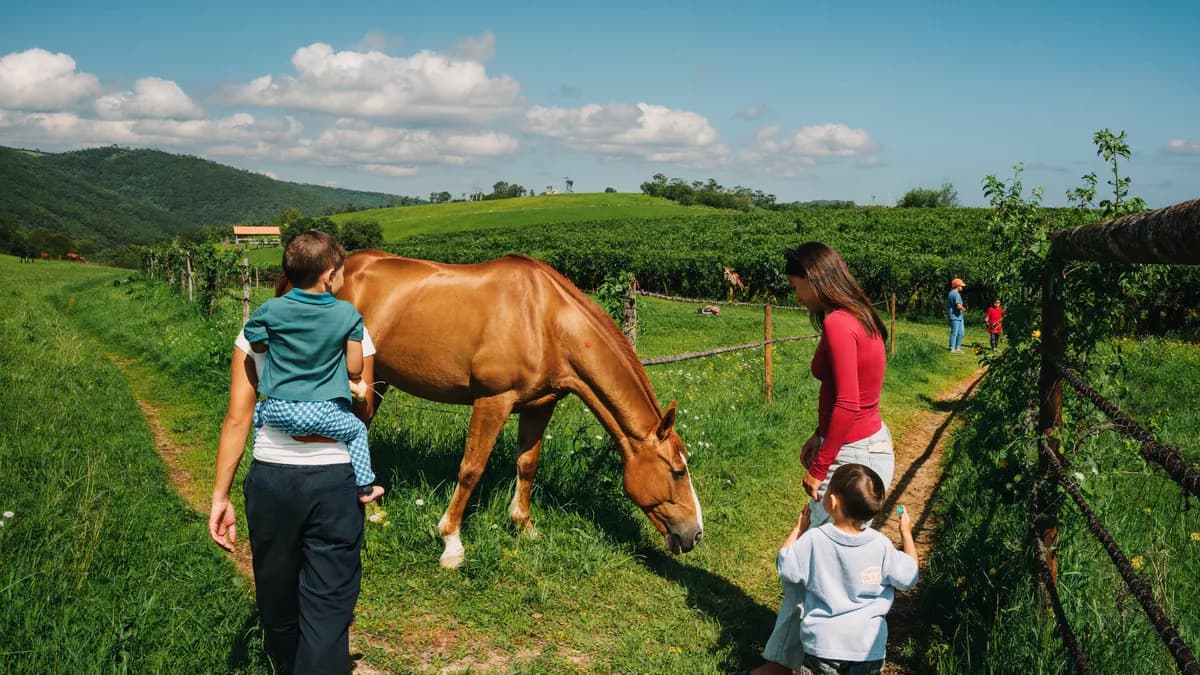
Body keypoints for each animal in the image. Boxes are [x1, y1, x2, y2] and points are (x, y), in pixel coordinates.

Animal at [279, 250, 704, 568]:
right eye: (677, 471)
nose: (694, 534)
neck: (545, 321)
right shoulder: (492, 401)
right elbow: (471, 469)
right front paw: (451, 542)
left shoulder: (539, 407)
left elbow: (527, 465)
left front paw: (525, 526)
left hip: (376, 378)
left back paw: (376, 511)